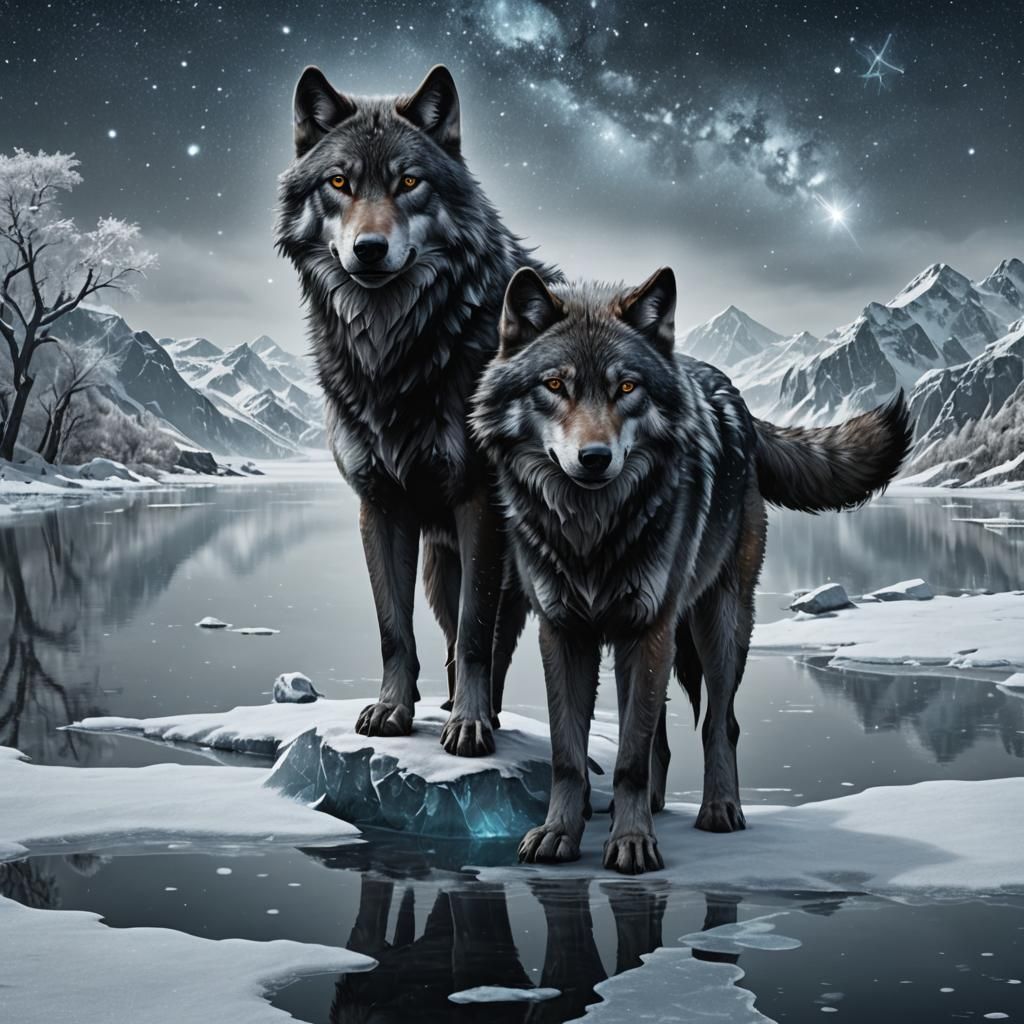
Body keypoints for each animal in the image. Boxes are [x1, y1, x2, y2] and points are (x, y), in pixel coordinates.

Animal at [275, 65, 555, 756]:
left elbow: (479, 633)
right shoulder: (380, 503)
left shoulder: (480, 502)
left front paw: (473, 725)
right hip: (437, 567)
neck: (394, 350)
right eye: (339, 182)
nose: (370, 249)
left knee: (491, 638)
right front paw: (392, 711)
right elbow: (392, 629)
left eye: (408, 181)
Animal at [471, 267, 912, 872]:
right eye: (555, 385)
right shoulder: (563, 632)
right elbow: (568, 751)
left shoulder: (648, 627)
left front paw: (632, 844)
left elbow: (630, 756)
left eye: (626, 388)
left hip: (717, 626)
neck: (592, 530)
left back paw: (719, 810)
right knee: (659, 732)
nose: (595, 459)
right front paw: (560, 832)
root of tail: (732, 394)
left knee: (718, 722)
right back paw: (647, 807)